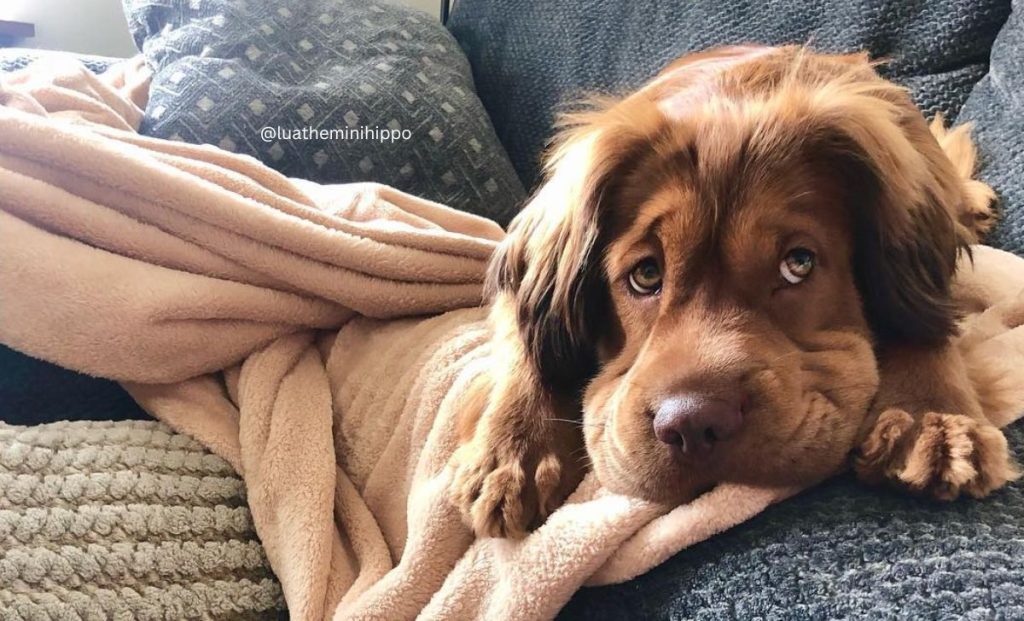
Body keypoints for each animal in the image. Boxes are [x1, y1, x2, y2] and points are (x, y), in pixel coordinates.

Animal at [448, 45, 1015, 541]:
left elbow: (924, 321)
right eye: (645, 275)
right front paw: (511, 452)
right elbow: (527, 344)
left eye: (798, 264)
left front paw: (934, 417)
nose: (694, 424)